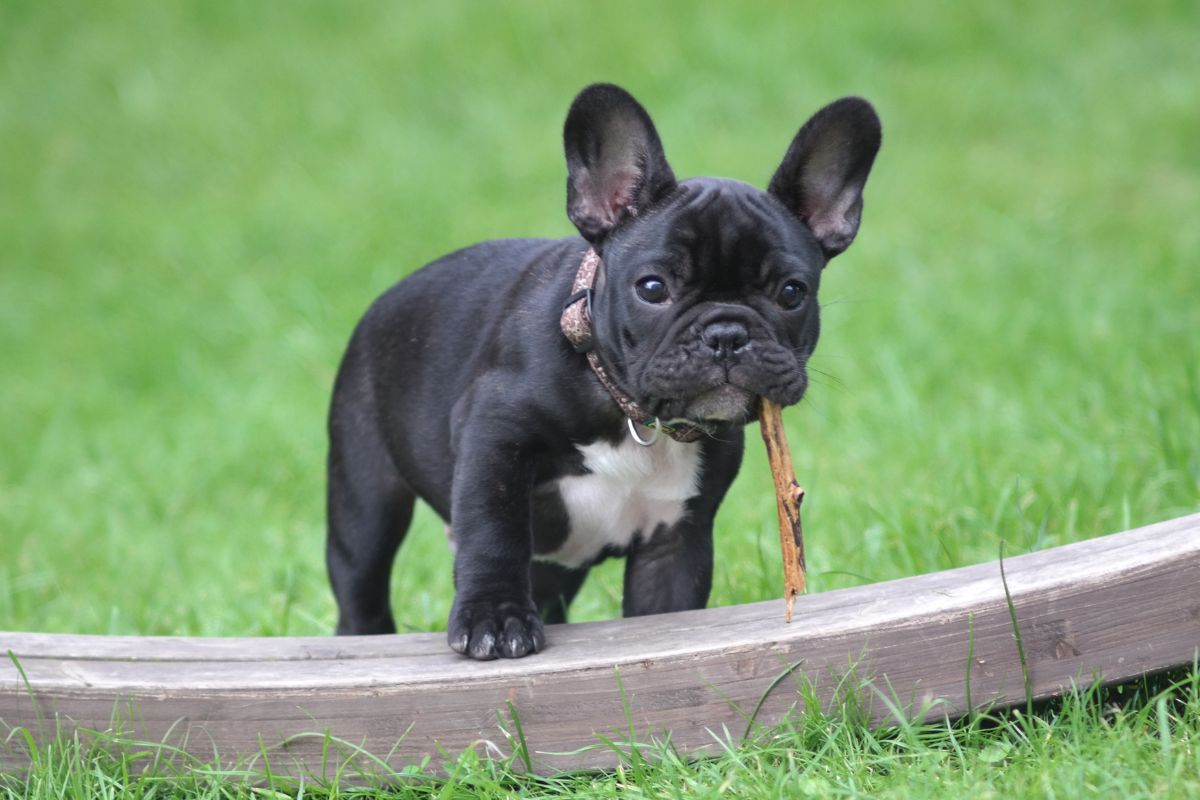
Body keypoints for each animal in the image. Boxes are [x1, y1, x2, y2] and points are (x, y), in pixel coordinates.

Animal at [328, 81, 883, 662]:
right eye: (653, 288)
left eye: (792, 293)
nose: (727, 334)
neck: (628, 410)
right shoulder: (492, 437)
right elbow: (493, 530)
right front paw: (494, 617)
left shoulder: (676, 540)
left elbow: (668, 609)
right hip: (365, 497)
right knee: (362, 581)